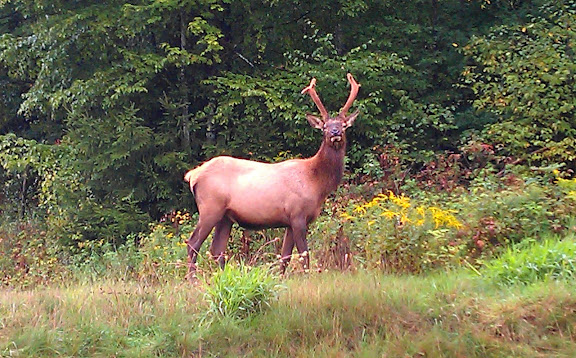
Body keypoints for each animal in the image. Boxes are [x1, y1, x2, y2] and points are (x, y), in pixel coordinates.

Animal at [183, 73, 360, 276]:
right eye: (324, 127)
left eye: (344, 125)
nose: (335, 132)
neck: (316, 182)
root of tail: (192, 175)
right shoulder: (297, 214)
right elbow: (304, 256)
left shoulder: (290, 221)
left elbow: (285, 256)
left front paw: (281, 278)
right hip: (210, 207)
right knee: (193, 243)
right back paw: (193, 279)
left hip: (225, 216)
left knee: (217, 249)